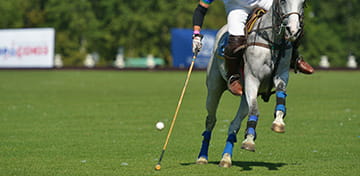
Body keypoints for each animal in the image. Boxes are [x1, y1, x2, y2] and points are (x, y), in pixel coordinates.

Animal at [195, 0, 306, 168]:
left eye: (303, 3)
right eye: (282, 1)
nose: (293, 30)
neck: (272, 40)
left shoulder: (281, 75)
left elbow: (281, 95)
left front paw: (278, 122)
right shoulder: (252, 79)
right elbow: (255, 110)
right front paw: (249, 141)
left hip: (244, 96)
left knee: (234, 124)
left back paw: (226, 158)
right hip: (214, 88)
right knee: (211, 120)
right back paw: (202, 156)